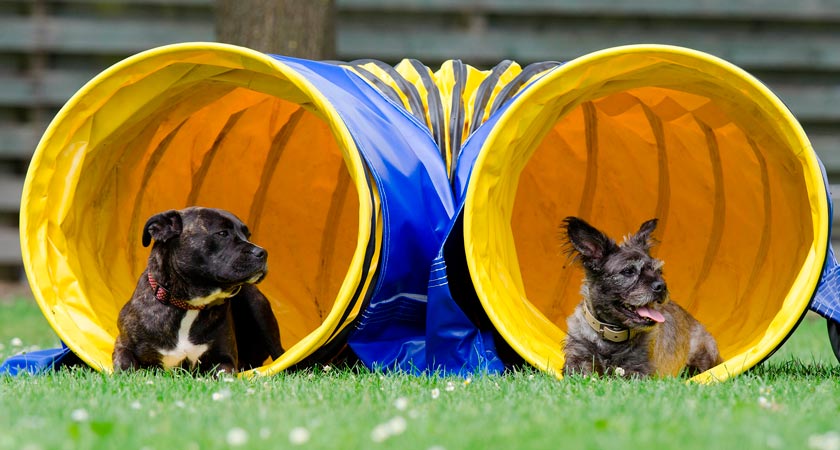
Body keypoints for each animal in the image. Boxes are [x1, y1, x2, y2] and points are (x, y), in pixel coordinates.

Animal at [111, 207, 286, 372]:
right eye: (222, 233)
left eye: (248, 235)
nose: (262, 252)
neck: (189, 305)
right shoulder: (122, 346)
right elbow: (125, 364)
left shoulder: (224, 359)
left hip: (259, 309)